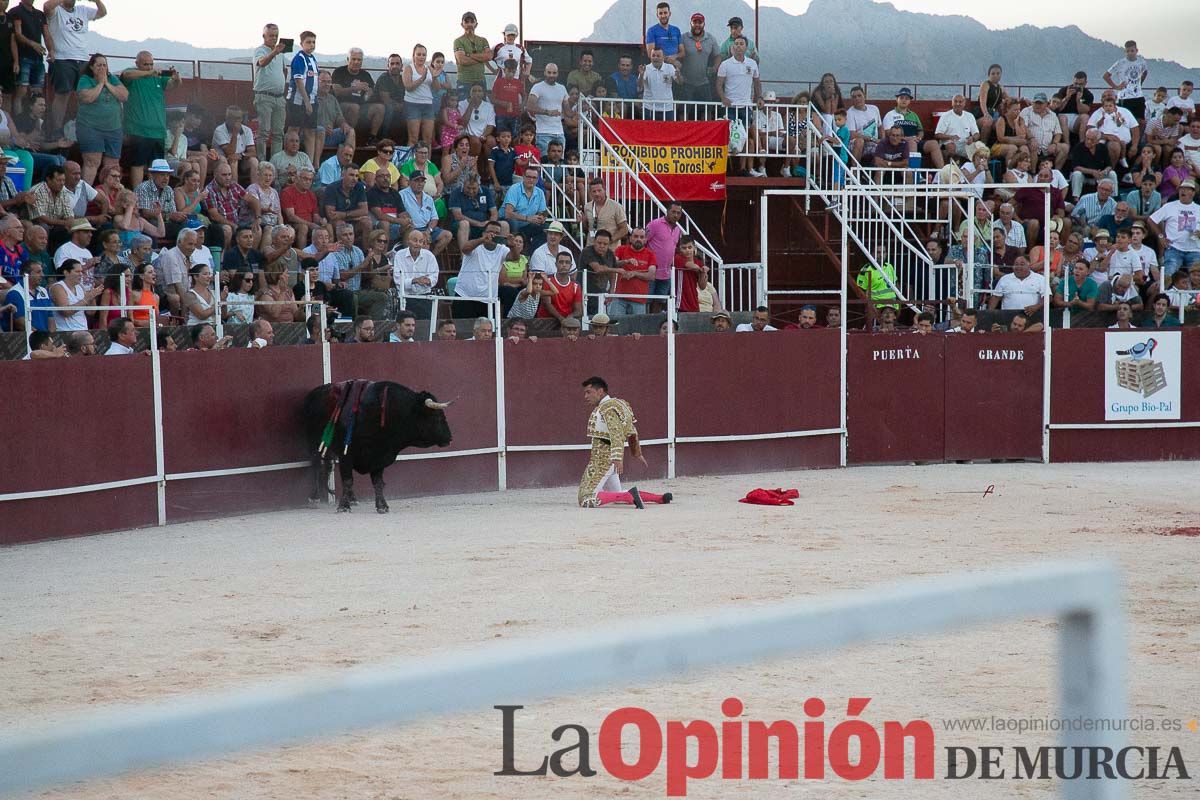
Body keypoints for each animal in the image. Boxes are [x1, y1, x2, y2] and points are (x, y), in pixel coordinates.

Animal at [300, 381, 453, 513]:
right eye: (437, 417)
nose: (449, 438)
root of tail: (315, 392)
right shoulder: (346, 454)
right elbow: (348, 480)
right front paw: (343, 507)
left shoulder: (379, 456)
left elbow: (378, 483)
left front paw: (382, 506)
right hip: (314, 445)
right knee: (317, 467)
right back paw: (314, 498)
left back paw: (353, 498)